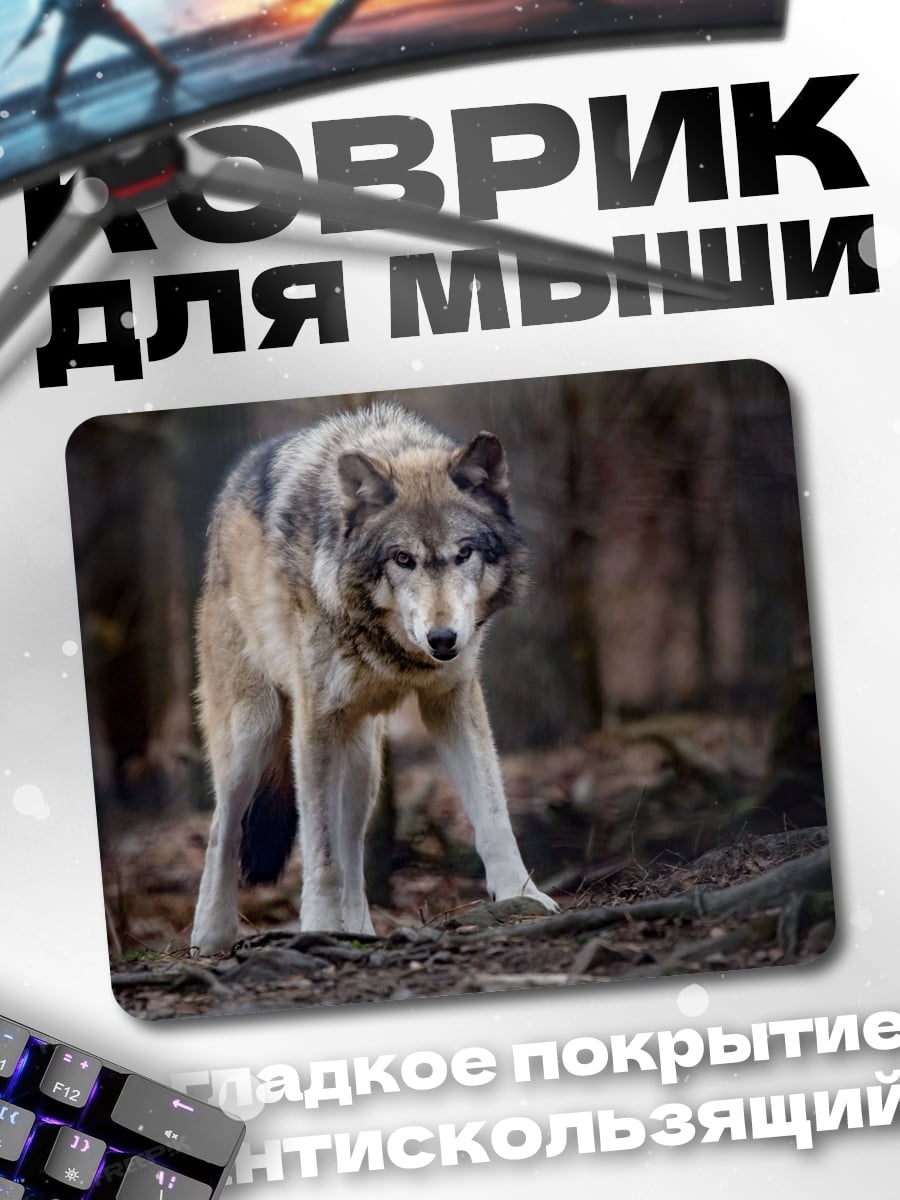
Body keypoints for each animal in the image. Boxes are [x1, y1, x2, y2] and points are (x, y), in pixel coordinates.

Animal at [190, 402, 557, 955]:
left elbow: (493, 815)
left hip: (363, 760)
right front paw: (317, 924)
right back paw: (210, 939)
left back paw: (359, 932)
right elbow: (319, 853)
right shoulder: (315, 721)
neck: (390, 645)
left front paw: (522, 895)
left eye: (464, 553)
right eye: (402, 559)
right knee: (222, 829)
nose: (443, 639)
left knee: (352, 850)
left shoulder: (452, 697)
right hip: (256, 732)